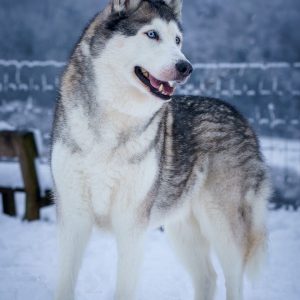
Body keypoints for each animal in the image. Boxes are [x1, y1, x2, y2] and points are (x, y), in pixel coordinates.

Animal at [51, 1, 272, 298]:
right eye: (152, 34)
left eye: (177, 40)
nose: (186, 67)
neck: (113, 124)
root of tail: (242, 118)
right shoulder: (73, 219)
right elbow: (64, 284)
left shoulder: (132, 225)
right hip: (181, 231)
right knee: (208, 278)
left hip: (222, 227)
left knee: (232, 281)